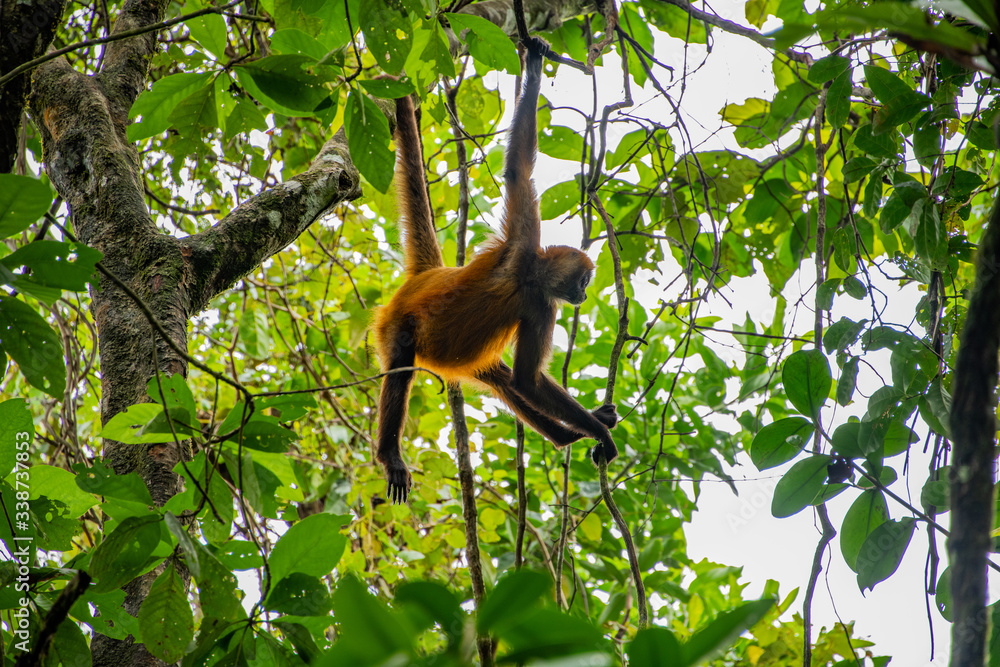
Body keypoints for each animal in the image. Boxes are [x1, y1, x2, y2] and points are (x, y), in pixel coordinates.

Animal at [373, 36, 619, 504]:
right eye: (583, 281)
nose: (581, 296)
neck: (528, 276)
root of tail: (424, 277)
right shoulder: (525, 250)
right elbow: (518, 169)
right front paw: (536, 65)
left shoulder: (540, 303)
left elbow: (524, 380)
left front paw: (591, 427)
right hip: (397, 323)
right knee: (401, 362)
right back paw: (389, 455)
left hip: (469, 359)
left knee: (504, 379)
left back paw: (564, 438)